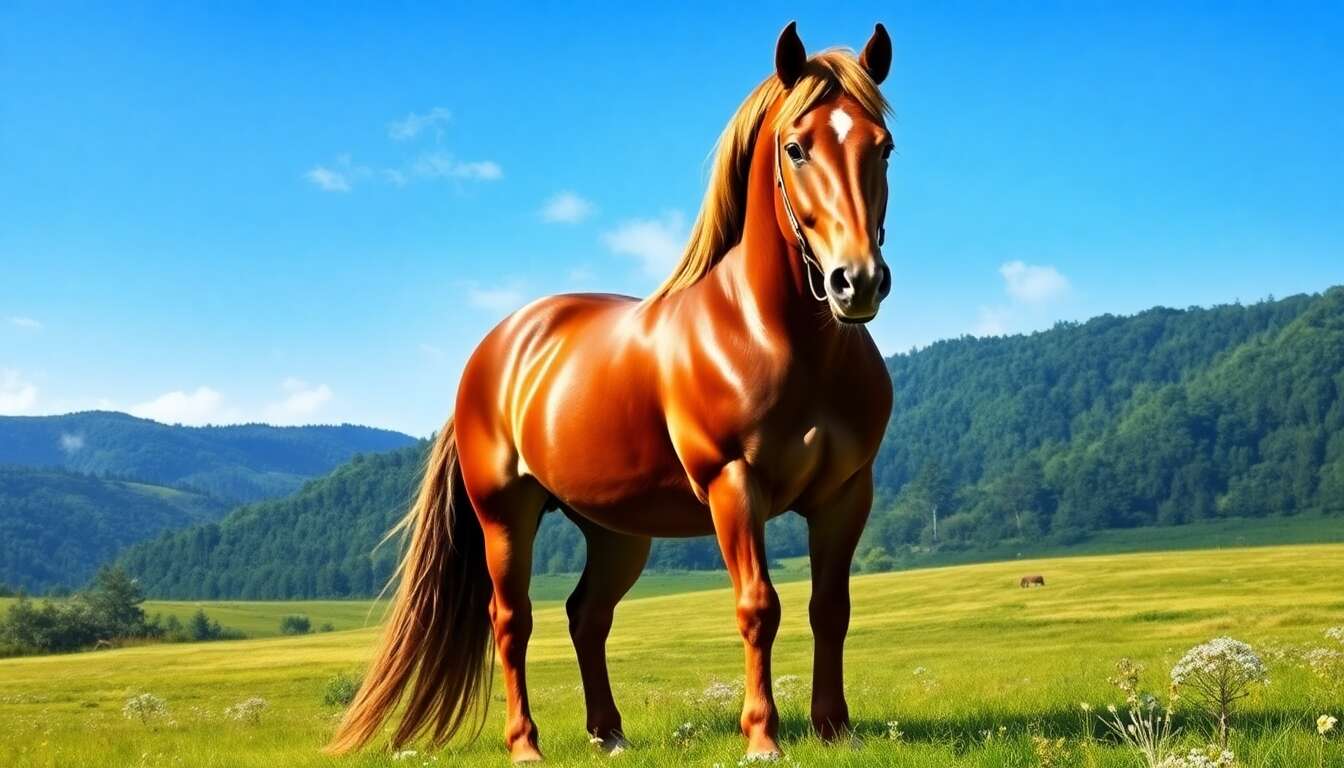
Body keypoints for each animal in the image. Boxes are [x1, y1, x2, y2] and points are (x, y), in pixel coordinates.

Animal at [327, 21, 896, 762]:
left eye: (883, 146)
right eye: (796, 147)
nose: (856, 281)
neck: (773, 336)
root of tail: (494, 352)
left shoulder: (845, 493)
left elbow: (831, 607)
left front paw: (835, 729)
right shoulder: (733, 485)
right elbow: (758, 606)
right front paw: (763, 737)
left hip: (616, 531)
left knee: (586, 615)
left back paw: (610, 733)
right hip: (505, 515)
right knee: (512, 620)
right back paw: (526, 744)